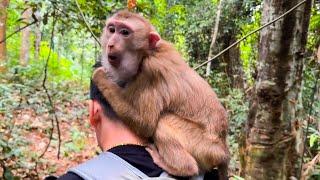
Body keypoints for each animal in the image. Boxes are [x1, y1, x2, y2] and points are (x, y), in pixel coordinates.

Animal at [92, 10, 230, 179]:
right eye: (111, 30)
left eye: (124, 32)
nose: (110, 44)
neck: (148, 53)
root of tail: (224, 151)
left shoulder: (151, 71)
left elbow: (146, 124)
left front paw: (99, 75)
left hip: (204, 147)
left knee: (163, 121)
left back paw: (183, 168)